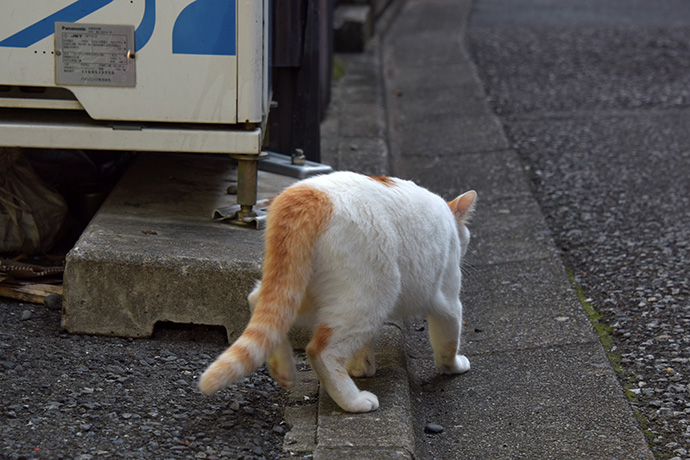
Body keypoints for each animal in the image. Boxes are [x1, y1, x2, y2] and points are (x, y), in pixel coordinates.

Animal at [199, 170, 476, 414]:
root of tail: (308, 194)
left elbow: (363, 345)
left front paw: (361, 367)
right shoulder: (449, 301)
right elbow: (448, 341)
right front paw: (454, 366)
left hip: (303, 289)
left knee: (261, 304)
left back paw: (282, 369)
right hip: (372, 295)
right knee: (320, 351)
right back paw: (353, 401)